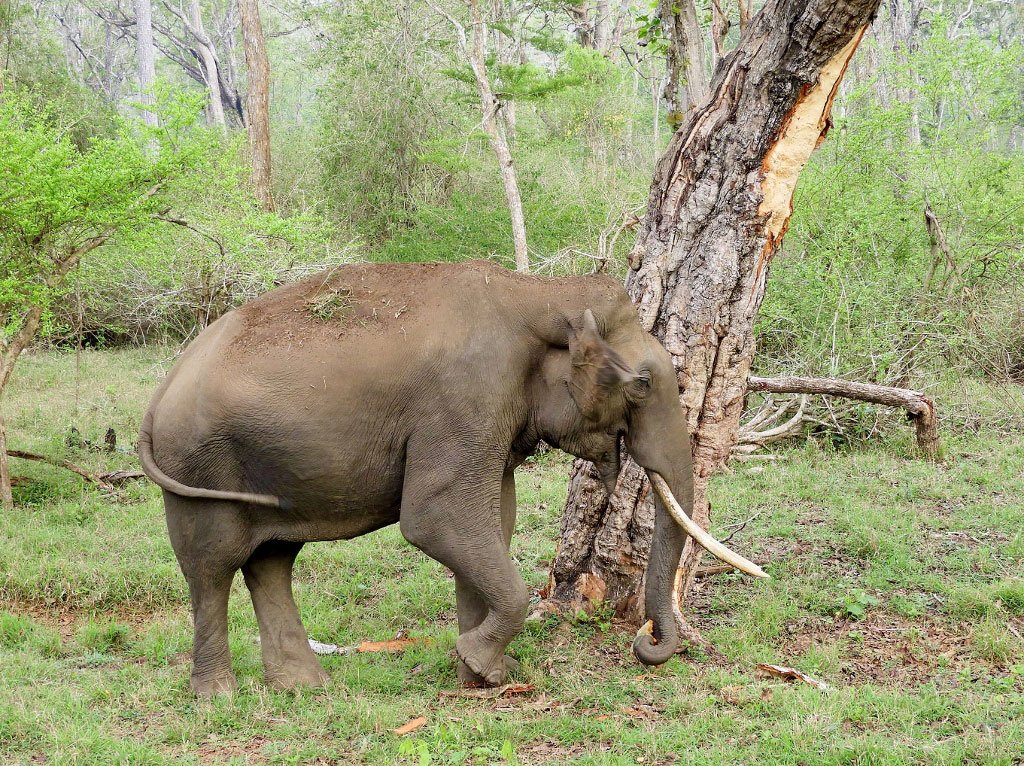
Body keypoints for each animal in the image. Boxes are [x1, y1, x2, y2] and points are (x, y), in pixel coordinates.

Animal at [140, 260, 765, 696]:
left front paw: (478, 675)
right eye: (641, 385)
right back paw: (219, 696)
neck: (537, 293)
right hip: (196, 464)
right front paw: (481, 663)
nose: (647, 640)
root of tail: (160, 393)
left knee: (271, 561)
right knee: (212, 567)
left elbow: (494, 520)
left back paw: (304, 688)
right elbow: (436, 518)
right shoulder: (466, 397)